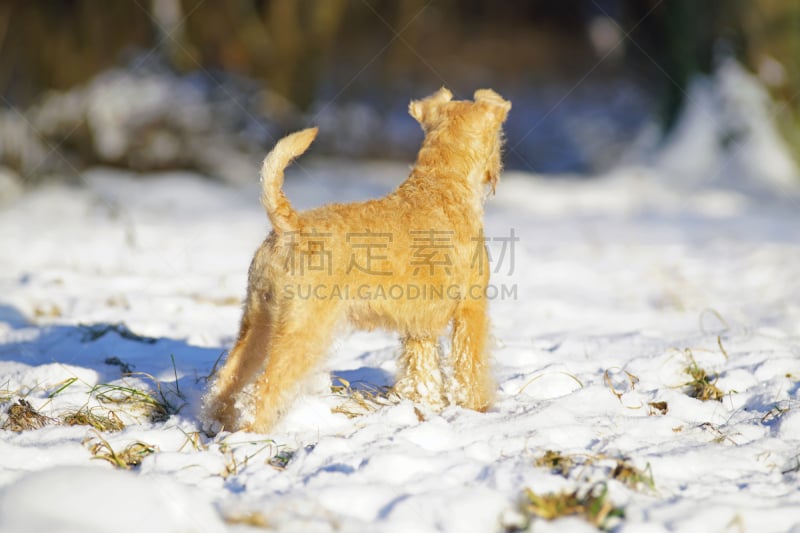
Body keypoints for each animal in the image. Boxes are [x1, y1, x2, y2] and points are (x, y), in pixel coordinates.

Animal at [203, 87, 510, 432]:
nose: (496, 172)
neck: (442, 185)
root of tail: (290, 228)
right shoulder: (471, 308)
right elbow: (471, 367)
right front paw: (479, 408)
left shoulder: (419, 324)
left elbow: (422, 373)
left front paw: (426, 405)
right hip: (303, 329)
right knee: (266, 387)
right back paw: (253, 432)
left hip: (258, 319)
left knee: (227, 378)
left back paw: (216, 423)